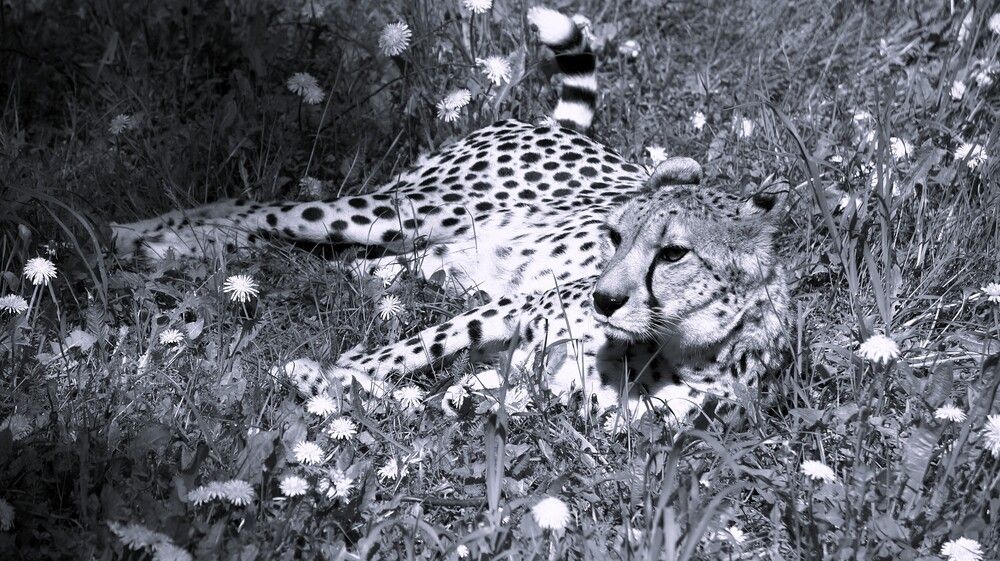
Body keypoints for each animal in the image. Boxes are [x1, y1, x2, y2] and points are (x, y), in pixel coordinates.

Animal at [111, 6, 790, 424]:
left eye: (672, 253)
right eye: (615, 236)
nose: (604, 299)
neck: (668, 348)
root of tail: (561, 128)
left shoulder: (529, 391)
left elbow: (424, 401)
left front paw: (333, 389)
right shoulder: (520, 307)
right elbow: (399, 354)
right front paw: (329, 373)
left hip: (420, 258)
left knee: (322, 262)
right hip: (401, 208)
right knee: (256, 208)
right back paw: (144, 234)